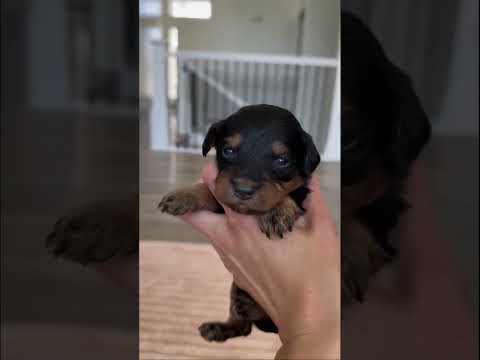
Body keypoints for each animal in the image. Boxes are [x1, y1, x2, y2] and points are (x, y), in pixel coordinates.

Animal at [159, 104, 320, 340]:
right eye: (228, 150)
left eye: (282, 161)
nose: (244, 190)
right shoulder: (222, 201)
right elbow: (210, 191)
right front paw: (183, 195)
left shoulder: (303, 198)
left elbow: (288, 194)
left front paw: (278, 212)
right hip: (239, 290)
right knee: (243, 326)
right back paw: (217, 329)